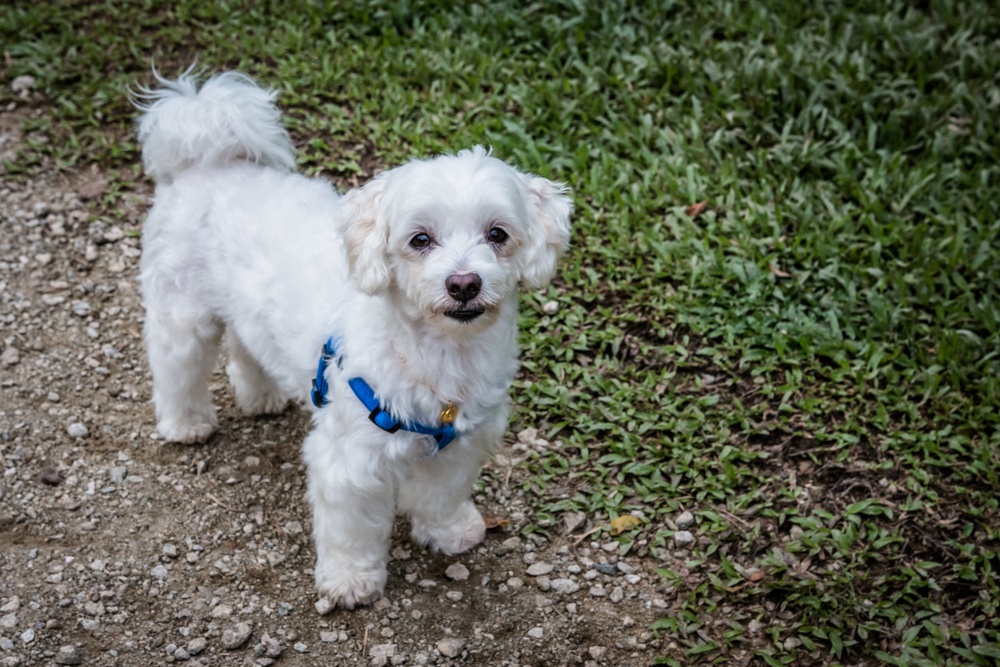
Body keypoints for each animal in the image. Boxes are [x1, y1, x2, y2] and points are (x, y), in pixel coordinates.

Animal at [134, 73, 572, 612]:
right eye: (420, 239)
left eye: (497, 234)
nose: (464, 283)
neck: (438, 354)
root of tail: (206, 162)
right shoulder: (350, 461)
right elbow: (351, 529)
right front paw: (349, 580)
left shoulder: (461, 442)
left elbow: (442, 494)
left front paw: (448, 530)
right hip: (182, 313)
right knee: (177, 365)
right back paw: (186, 423)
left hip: (246, 311)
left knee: (245, 345)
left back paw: (262, 397)